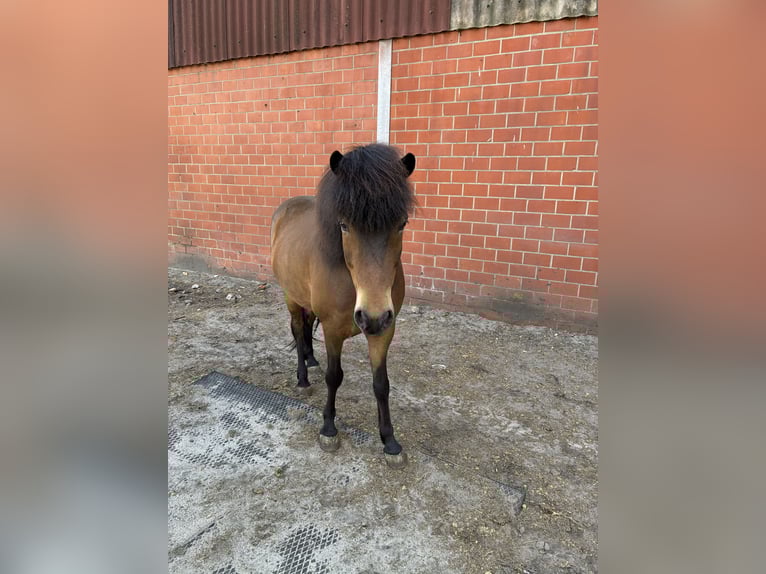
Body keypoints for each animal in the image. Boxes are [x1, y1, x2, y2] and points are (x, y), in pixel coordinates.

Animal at [270, 143, 416, 469]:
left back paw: (311, 359)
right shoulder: (333, 329)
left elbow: (381, 384)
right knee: (297, 330)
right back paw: (303, 377)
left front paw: (390, 442)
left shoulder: (384, 330)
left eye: (402, 224)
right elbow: (334, 376)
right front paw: (328, 429)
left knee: (305, 329)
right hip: (290, 296)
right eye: (344, 225)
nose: (372, 316)